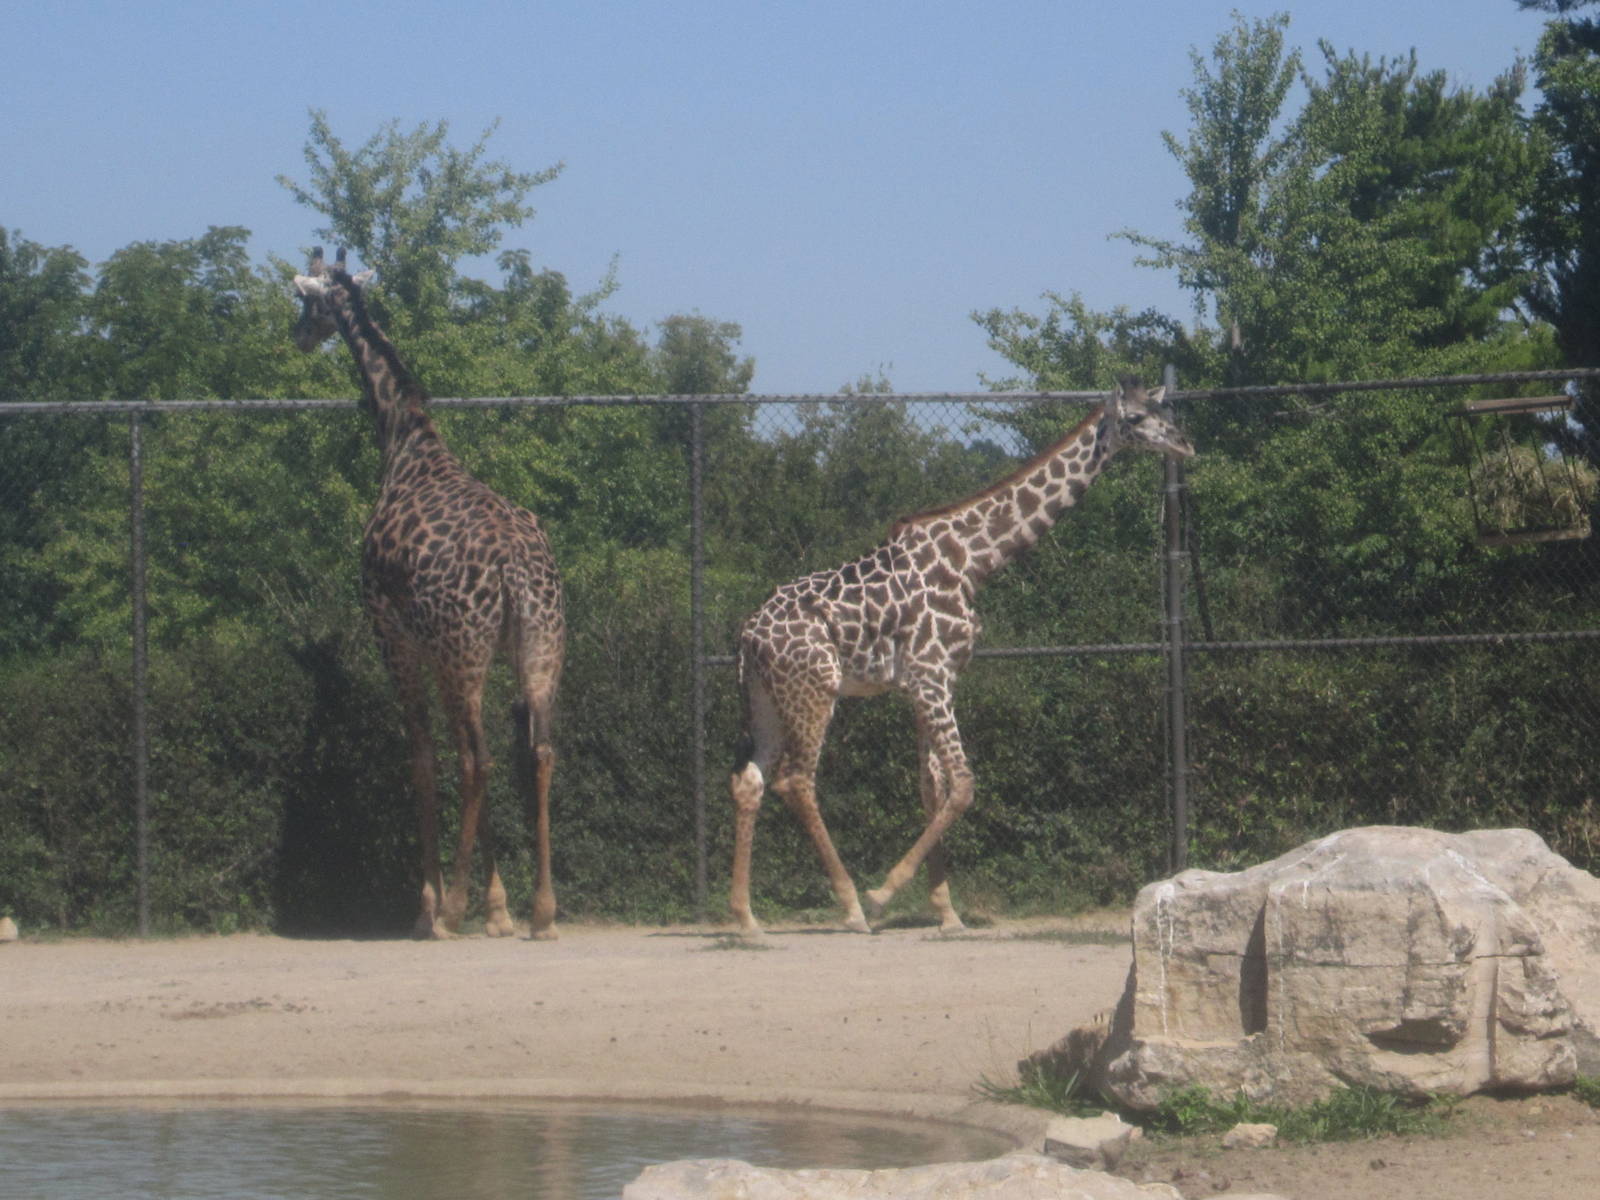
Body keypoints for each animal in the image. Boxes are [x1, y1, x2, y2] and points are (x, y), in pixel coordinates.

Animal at [292, 247, 565, 940]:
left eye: (307, 300)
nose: (299, 335)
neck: (404, 439)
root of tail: (516, 569)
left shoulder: (392, 633)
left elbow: (421, 758)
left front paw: (432, 905)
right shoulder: (448, 653)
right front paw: (499, 909)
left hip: (466, 651)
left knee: (475, 761)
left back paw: (451, 909)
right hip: (538, 648)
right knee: (536, 751)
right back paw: (543, 912)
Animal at [728, 379, 1194, 936]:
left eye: (1166, 410)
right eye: (1138, 418)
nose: (1185, 445)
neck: (974, 560)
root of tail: (748, 636)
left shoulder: (931, 680)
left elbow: (934, 788)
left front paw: (946, 913)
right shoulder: (931, 676)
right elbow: (965, 784)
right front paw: (886, 892)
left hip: (767, 698)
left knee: (749, 781)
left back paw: (746, 919)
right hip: (814, 688)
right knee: (796, 780)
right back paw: (853, 907)